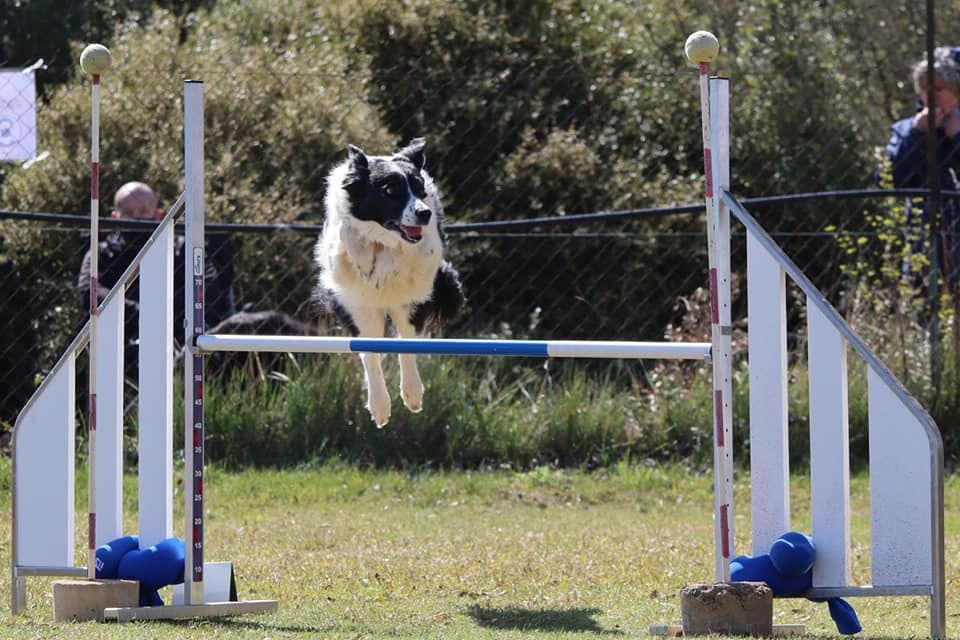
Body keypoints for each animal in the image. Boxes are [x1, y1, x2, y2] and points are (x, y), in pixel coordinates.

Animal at [316, 138, 464, 428]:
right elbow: (370, 353)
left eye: (419, 187)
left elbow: (406, 343)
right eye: (390, 191)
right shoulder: (357, 306)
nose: (424, 213)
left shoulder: (413, 298)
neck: (382, 241)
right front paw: (380, 406)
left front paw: (412, 393)